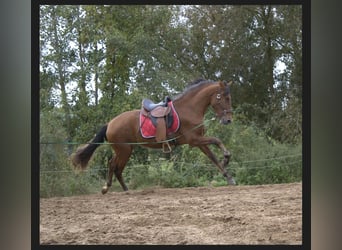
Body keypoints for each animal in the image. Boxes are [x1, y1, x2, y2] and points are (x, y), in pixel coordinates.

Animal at [71, 78, 236, 193]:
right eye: (224, 98)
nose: (228, 120)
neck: (189, 109)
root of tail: (110, 123)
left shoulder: (199, 142)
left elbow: (212, 157)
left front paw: (227, 175)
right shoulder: (194, 140)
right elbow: (217, 140)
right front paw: (226, 158)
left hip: (124, 150)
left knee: (114, 166)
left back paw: (123, 189)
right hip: (124, 150)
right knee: (114, 166)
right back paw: (108, 188)